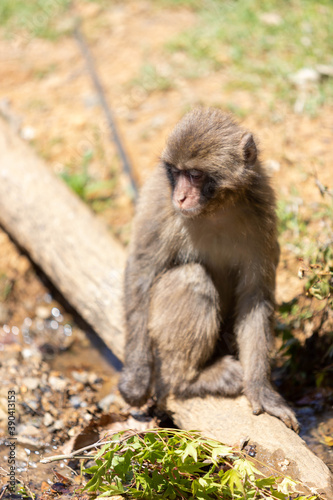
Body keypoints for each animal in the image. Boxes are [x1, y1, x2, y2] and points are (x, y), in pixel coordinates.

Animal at [119, 107, 298, 432]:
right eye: (176, 172)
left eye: (195, 175)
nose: (180, 196)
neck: (215, 209)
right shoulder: (161, 202)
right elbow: (141, 272)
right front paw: (136, 375)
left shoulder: (262, 214)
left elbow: (255, 297)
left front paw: (260, 388)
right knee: (190, 278)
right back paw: (190, 380)